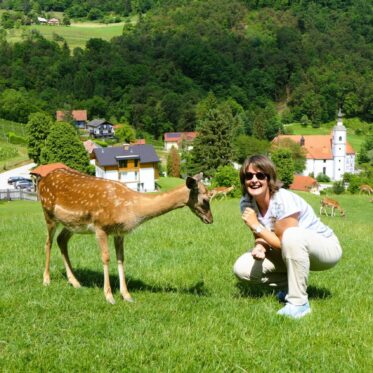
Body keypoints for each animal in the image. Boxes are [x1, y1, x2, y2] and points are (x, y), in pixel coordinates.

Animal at [38, 168, 212, 302]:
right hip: (48, 214)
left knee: (61, 240)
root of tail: (41, 180)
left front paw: (127, 295)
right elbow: (106, 258)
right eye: (205, 199)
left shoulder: (119, 232)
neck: (130, 208)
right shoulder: (100, 227)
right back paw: (46, 280)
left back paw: (75, 282)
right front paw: (109, 296)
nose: (211, 219)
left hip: (72, 224)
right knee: (48, 243)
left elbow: (121, 258)